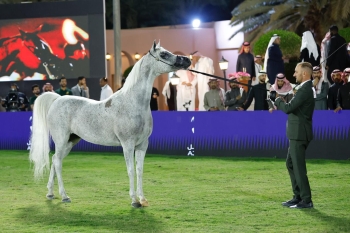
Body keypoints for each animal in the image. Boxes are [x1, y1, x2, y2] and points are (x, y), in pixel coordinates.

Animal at [29, 41, 191, 208]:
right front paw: (134, 200)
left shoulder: (142, 145)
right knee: (58, 163)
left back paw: (50, 193)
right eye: (163, 54)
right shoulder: (128, 144)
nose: (187, 60)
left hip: (70, 141)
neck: (132, 102)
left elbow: (139, 170)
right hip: (61, 140)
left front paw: (143, 199)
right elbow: (131, 170)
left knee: (55, 160)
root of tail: (57, 99)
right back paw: (64, 196)